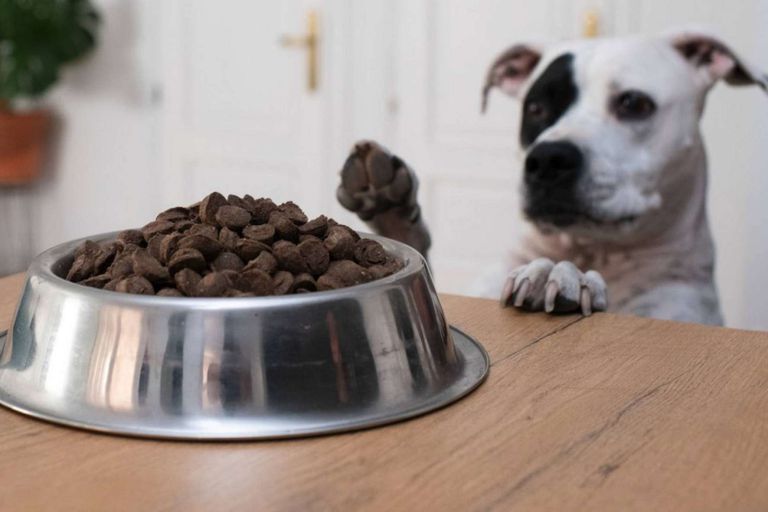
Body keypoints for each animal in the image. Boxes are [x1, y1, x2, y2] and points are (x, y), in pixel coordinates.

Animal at [336, 32, 768, 326]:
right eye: (536, 108)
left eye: (634, 103)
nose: (547, 159)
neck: (591, 251)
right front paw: (391, 208)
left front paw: (557, 277)